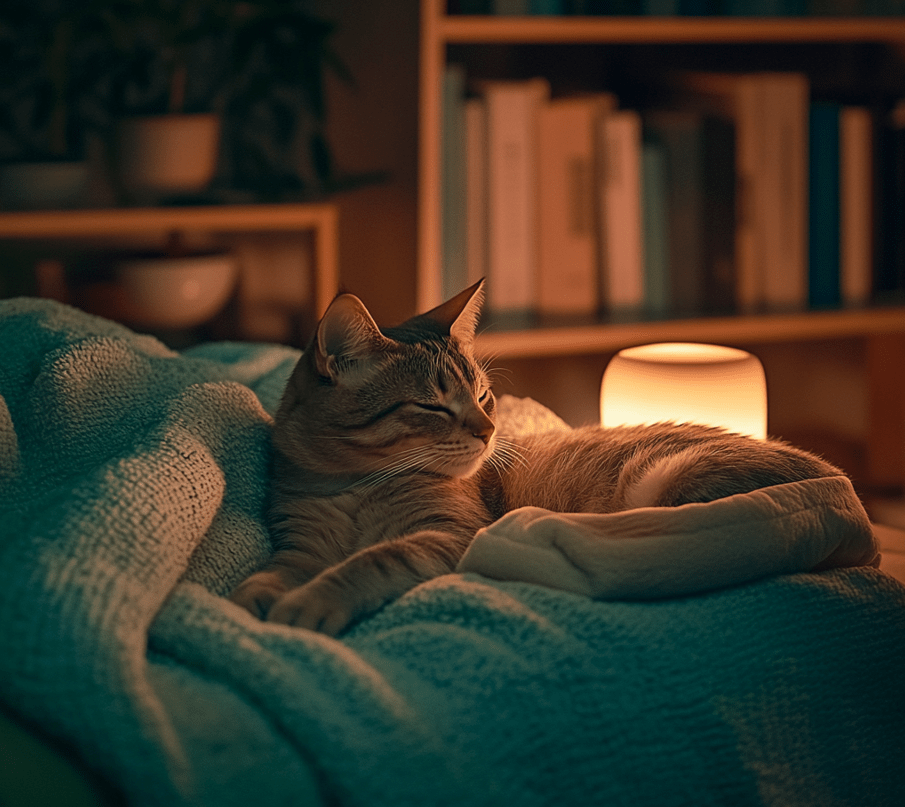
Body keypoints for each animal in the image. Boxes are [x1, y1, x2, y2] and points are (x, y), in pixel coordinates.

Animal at [231, 280, 840, 636]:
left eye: (482, 397)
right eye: (432, 405)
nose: (489, 431)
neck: (356, 486)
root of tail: (837, 484)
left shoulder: (445, 535)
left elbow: (371, 561)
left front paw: (310, 603)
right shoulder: (301, 540)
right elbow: (278, 570)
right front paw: (254, 597)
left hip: (670, 485)